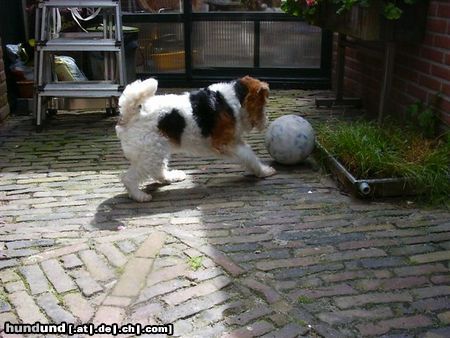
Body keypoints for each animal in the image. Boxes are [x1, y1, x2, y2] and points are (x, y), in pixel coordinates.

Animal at [116, 76, 276, 202]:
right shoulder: (227, 143)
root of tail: (130, 115)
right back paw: (139, 196)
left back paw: (171, 177)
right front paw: (263, 171)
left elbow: (247, 157)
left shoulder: (234, 142)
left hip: (157, 150)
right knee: (128, 177)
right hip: (150, 153)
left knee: (157, 171)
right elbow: (249, 156)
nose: (266, 122)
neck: (233, 100)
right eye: (262, 103)